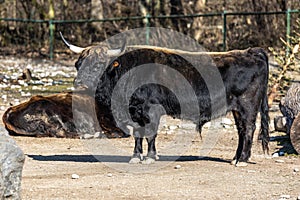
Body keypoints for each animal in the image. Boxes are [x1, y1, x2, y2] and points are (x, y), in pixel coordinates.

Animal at [61, 33, 270, 167]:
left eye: (97, 64)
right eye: (78, 64)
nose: (79, 83)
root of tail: (251, 51)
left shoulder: (151, 110)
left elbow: (151, 134)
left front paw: (150, 157)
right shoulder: (135, 112)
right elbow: (138, 134)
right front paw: (136, 157)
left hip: (247, 105)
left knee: (248, 129)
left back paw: (241, 160)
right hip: (237, 108)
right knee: (242, 130)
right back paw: (235, 158)